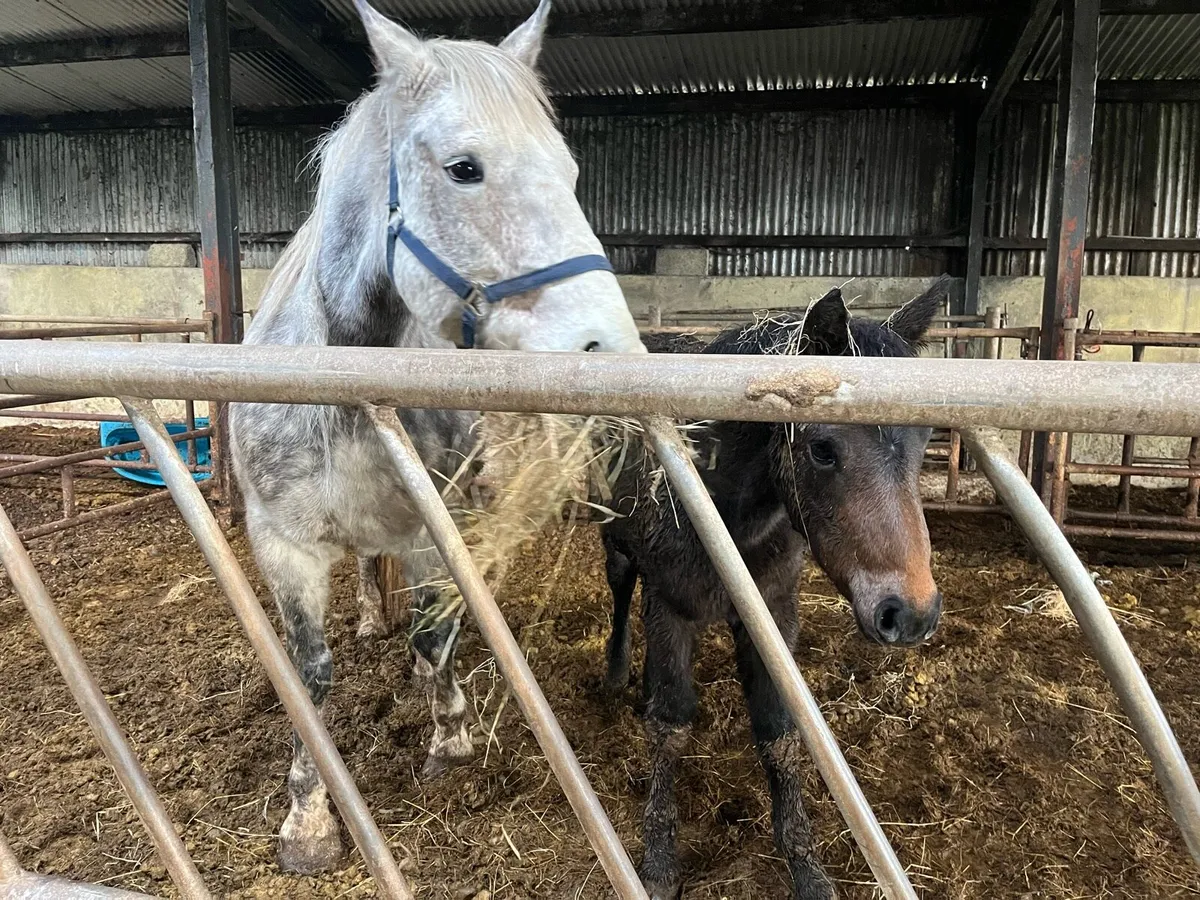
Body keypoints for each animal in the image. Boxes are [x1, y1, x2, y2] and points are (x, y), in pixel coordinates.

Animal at [229, 0, 644, 874]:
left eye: (571, 174)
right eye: (463, 169)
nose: (611, 351)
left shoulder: (429, 525)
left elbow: (433, 635)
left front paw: (449, 738)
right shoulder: (281, 543)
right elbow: (309, 675)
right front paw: (308, 816)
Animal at [600, 280, 948, 899]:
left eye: (923, 438)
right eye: (821, 448)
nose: (910, 614)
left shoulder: (773, 614)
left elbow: (780, 730)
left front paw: (806, 869)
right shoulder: (670, 608)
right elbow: (671, 724)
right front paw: (658, 863)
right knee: (620, 583)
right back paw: (617, 673)